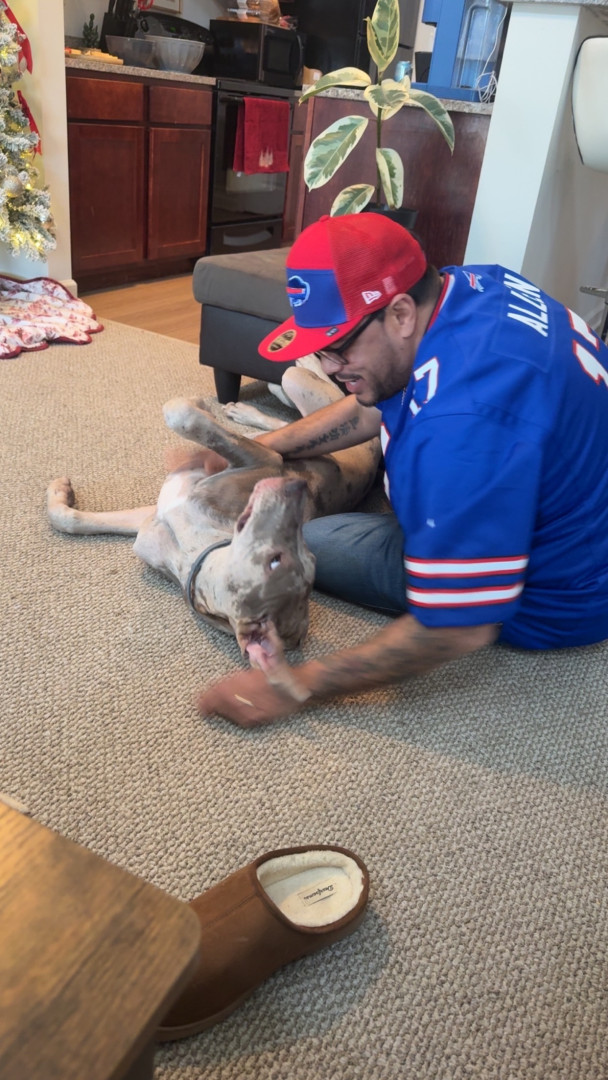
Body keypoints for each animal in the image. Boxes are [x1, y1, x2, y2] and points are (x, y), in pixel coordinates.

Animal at [47, 368, 380, 675]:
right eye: (307, 558)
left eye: (280, 560)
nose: (296, 487)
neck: (190, 549)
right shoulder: (157, 512)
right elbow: (72, 520)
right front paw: (60, 494)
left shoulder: (267, 459)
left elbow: (181, 413)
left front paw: (196, 404)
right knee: (288, 415)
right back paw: (250, 406)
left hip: (313, 392)